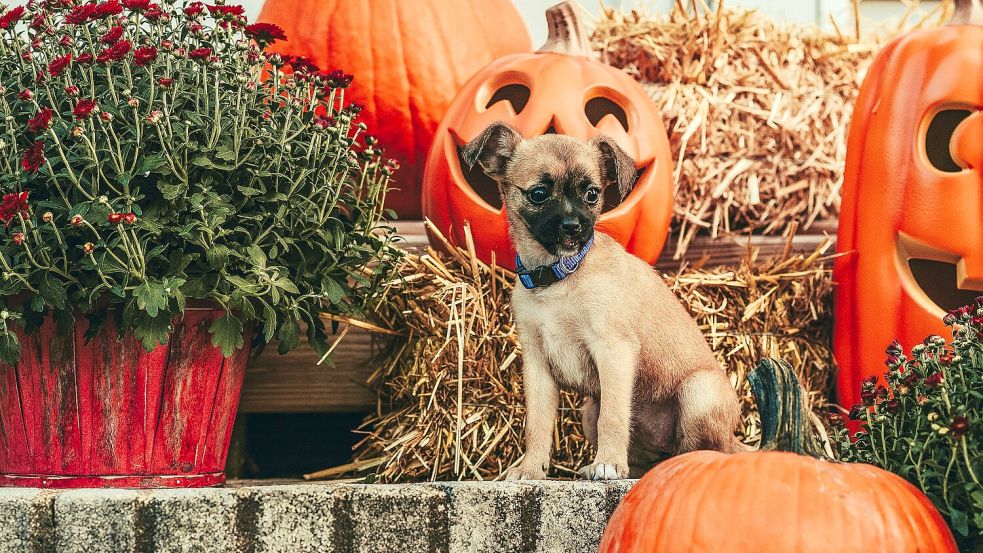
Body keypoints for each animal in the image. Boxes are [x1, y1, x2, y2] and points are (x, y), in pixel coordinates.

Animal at [466, 121, 740, 478]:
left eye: (592, 194)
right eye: (539, 194)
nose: (573, 226)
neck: (559, 276)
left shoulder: (613, 349)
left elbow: (614, 415)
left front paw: (607, 462)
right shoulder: (537, 365)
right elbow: (537, 423)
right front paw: (531, 468)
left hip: (700, 393)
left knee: (704, 450)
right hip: (588, 411)